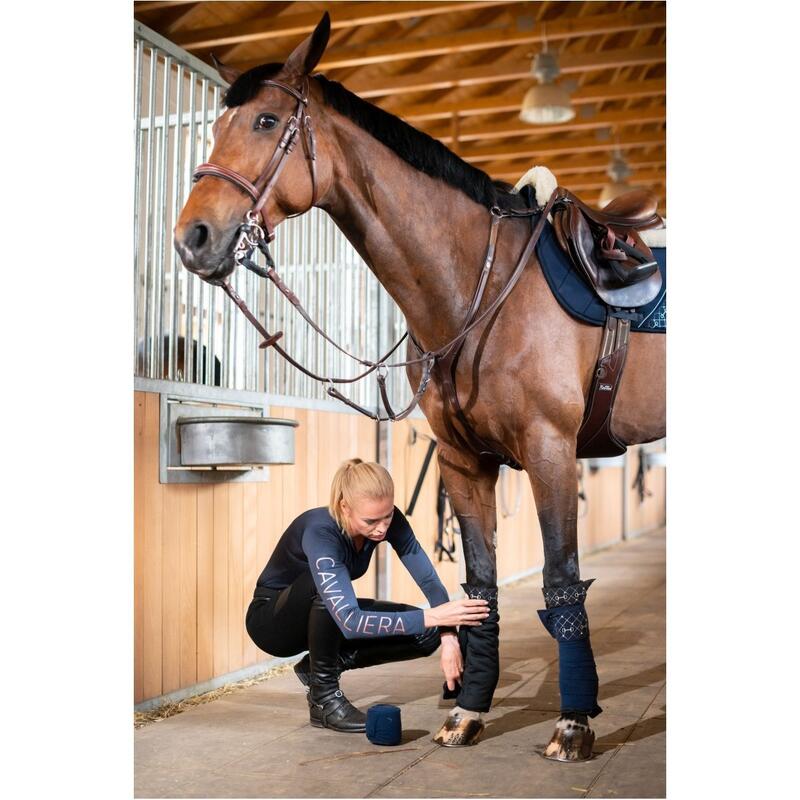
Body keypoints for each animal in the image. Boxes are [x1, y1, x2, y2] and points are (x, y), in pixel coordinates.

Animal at [172, 14, 664, 764]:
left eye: (264, 120)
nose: (192, 238)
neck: (480, 290)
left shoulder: (550, 452)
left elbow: (561, 580)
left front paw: (573, 725)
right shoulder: (464, 462)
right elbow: (479, 583)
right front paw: (468, 710)